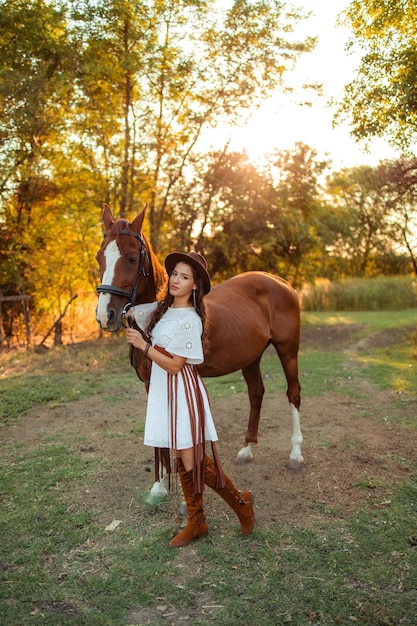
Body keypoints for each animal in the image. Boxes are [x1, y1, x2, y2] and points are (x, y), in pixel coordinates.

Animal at [94, 205, 302, 472]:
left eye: (131, 258)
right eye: (100, 257)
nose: (105, 315)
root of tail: (280, 281)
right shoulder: (152, 383)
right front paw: (161, 480)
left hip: (288, 351)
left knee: (293, 393)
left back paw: (296, 453)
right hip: (250, 357)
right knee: (256, 393)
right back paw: (246, 449)